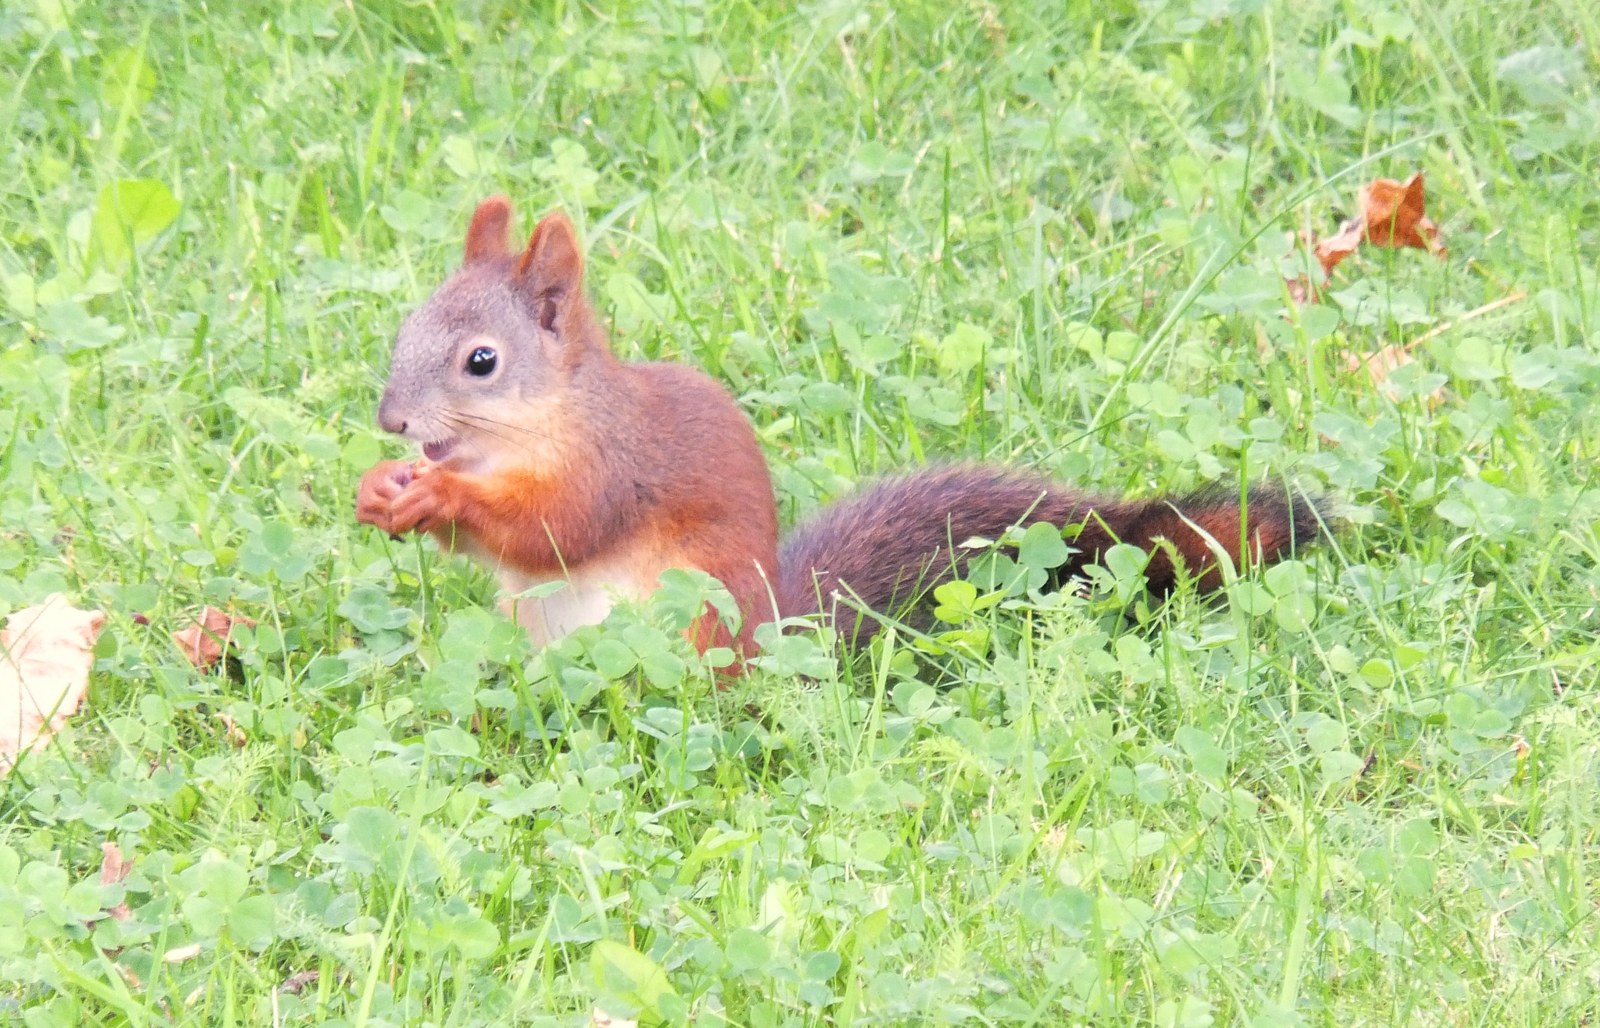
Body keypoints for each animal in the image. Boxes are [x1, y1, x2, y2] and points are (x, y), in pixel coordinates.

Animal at [356, 196, 1318, 669]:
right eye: (405, 327)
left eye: (481, 362)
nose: (392, 420)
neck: (530, 428)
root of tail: (774, 642)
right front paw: (382, 491)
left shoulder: (611, 466)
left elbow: (554, 529)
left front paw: (437, 493)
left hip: (691, 616)